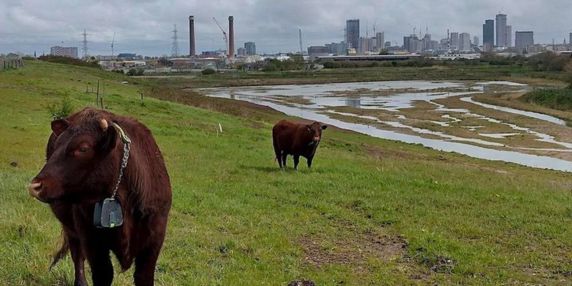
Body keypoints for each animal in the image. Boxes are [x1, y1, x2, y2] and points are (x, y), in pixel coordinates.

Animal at [28, 108, 172, 286]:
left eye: (83, 148)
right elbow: (103, 274)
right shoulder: (91, 239)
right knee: (77, 254)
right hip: (71, 227)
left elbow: (143, 276)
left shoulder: (154, 239)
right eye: (57, 145)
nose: (35, 186)